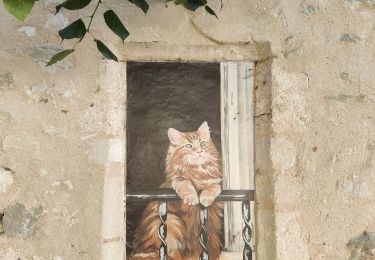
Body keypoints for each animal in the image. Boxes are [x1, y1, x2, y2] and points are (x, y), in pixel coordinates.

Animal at [132, 122, 223, 260]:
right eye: (189, 146)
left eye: (202, 144)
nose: (199, 151)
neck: (198, 171)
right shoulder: (177, 180)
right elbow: (186, 185)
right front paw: (192, 198)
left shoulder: (214, 182)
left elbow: (211, 188)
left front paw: (205, 199)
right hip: (171, 221)